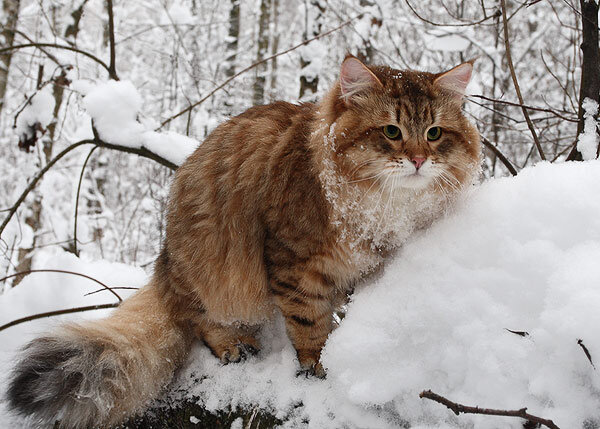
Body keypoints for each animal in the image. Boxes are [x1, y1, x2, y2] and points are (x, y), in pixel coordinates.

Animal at [5, 55, 482, 426]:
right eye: (391, 131)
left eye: (435, 133)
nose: (418, 159)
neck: (384, 205)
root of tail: (165, 265)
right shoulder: (295, 261)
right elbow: (310, 323)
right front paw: (320, 363)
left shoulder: (367, 266)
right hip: (207, 268)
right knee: (197, 320)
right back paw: (231, 344)